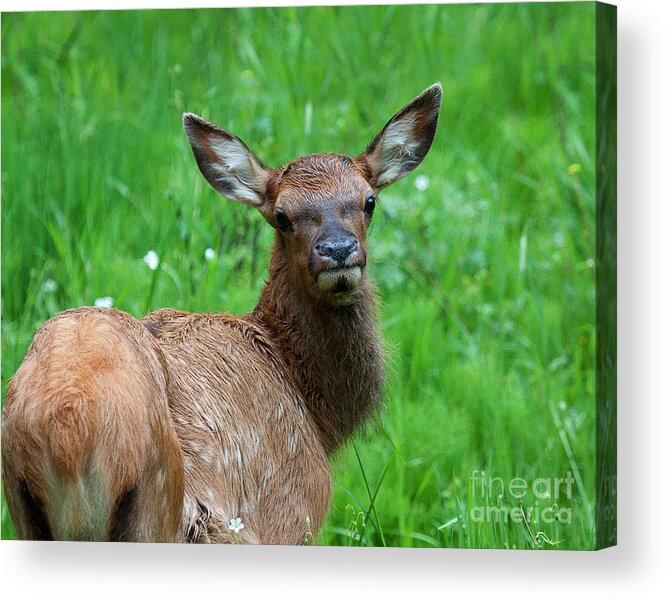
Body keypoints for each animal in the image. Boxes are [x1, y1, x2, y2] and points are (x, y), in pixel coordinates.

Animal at [1, 84, 440, 544]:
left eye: (368, 201)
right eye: (282, 216)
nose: (337, 250)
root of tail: (66, 434)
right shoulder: (289, 510)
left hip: (24, 509)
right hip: (164, 509)